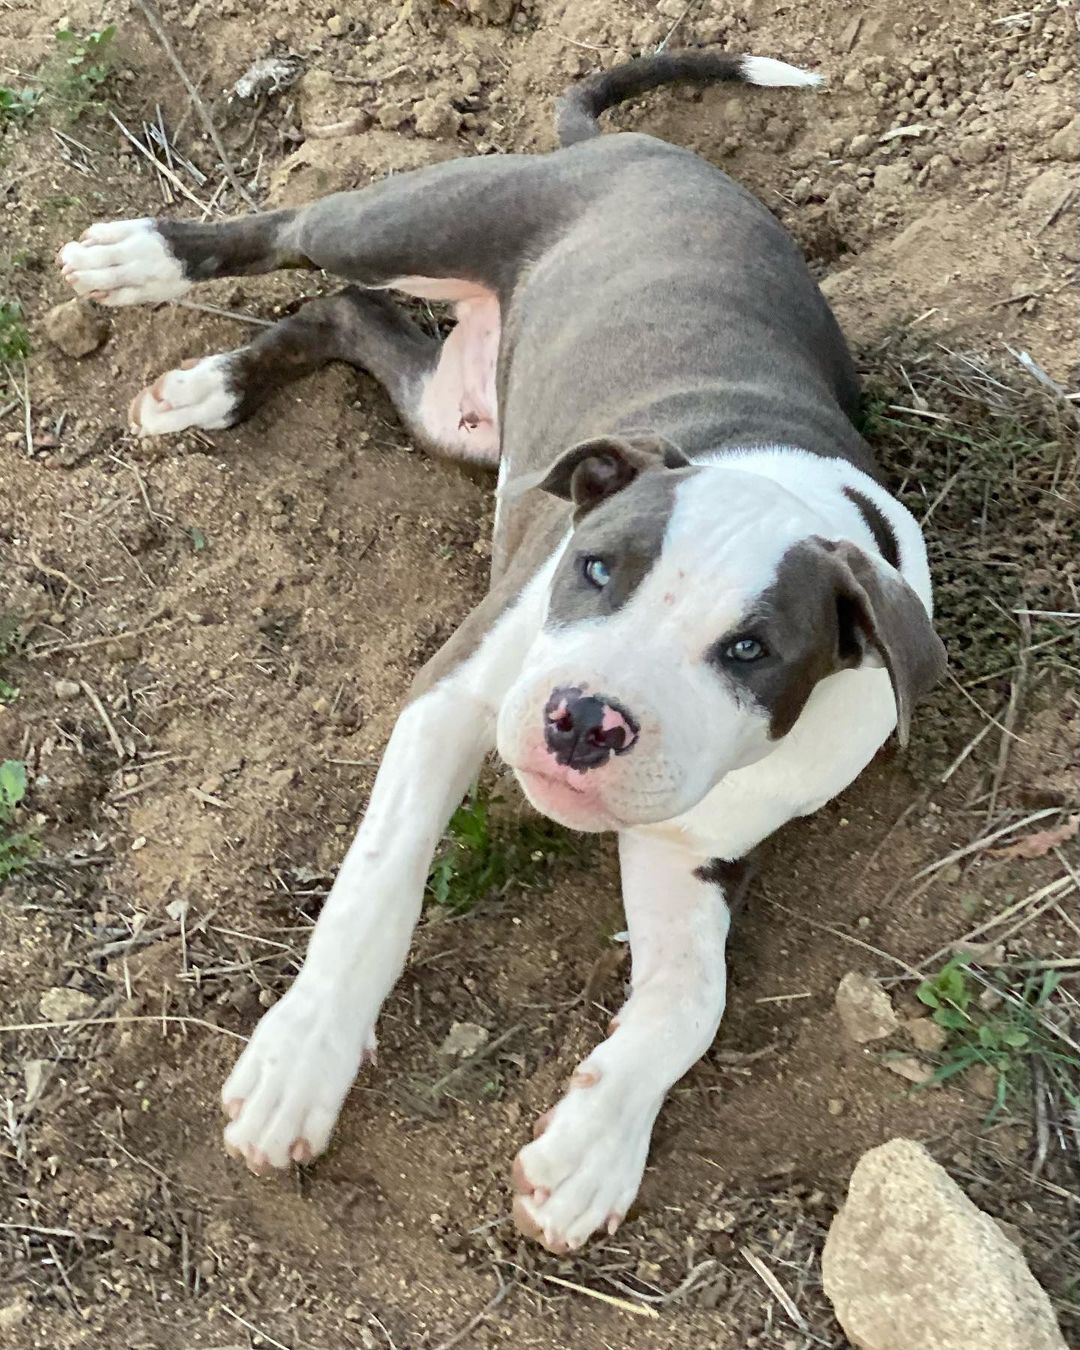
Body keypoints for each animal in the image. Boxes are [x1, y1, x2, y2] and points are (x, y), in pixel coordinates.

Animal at [57, 52, 945, 1252]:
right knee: (297, 235)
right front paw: (304, 1061)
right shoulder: (456, 692)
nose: (585, 720)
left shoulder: (698, 843)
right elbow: (376, 888)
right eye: (598, 569)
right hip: (410, 219)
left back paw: (213, 387)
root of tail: (629, 151)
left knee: (345, 317)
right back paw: (142, 266)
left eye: (753, 649)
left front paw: (596, 1141)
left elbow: (692, 1001)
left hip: (454, 410)